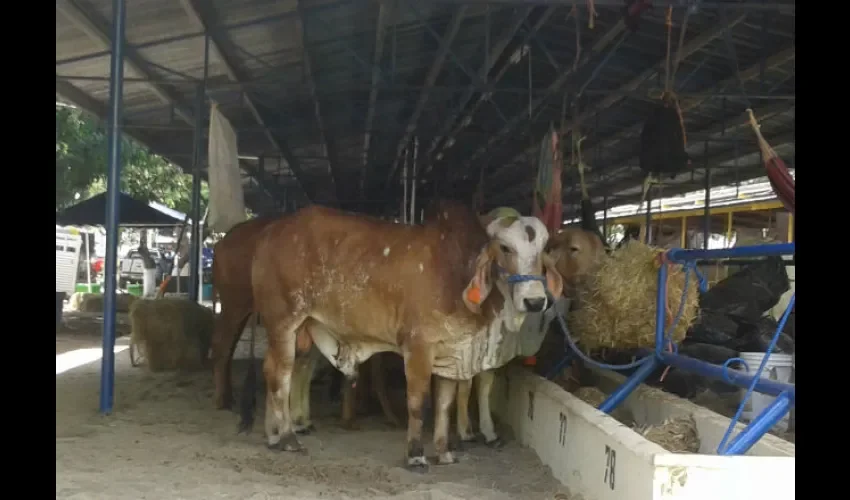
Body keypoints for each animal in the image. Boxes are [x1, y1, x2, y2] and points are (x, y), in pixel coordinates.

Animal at [248, 201, 560, 466]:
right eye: (505, 248)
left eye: (544, 247)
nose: (535, 301)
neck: (456, 268)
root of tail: (271, 232)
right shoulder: (419, 346)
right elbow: (417, 401)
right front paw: (417, 454)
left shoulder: (452, 351)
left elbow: (444, 405)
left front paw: (444, 452)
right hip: (284, 322)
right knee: (280, 376)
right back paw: (288, 437)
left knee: (270, 370)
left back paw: (273, 436)